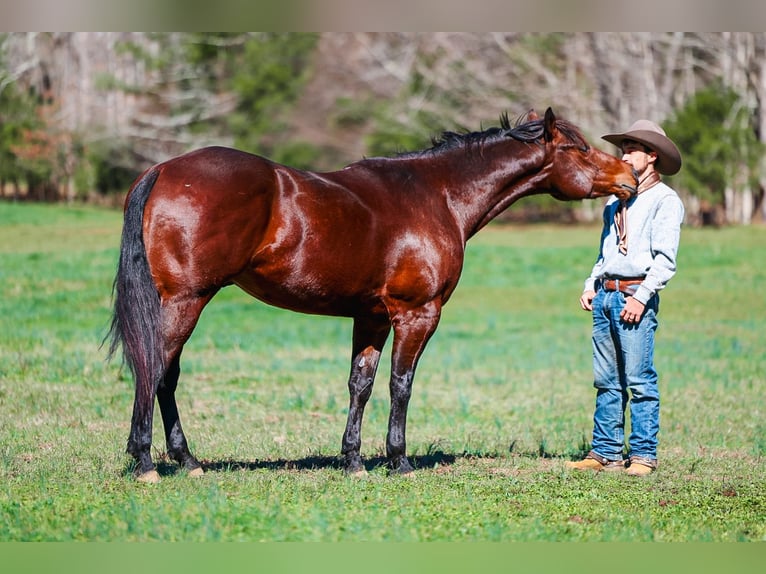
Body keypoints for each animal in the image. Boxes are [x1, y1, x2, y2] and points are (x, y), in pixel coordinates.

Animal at [106, 107, 637, 483]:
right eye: (579, 149)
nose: (629, 178)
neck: (437, 195)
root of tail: (162, 170)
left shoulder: (373, 317)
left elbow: (359, 384)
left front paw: (354, 460)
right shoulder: (417, 314)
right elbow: (401, 384)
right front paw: (398, 460)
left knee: (165, 376)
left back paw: (186, 460)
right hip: (186, 301)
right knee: (154, 370)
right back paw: (147, 462)